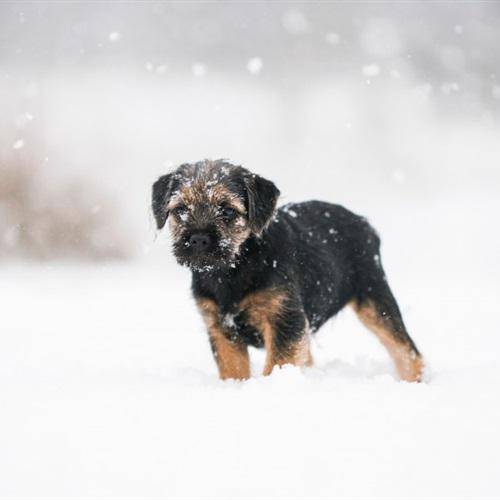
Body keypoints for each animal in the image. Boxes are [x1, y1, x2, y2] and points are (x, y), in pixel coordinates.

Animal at [151, 160, 422, 382]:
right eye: (180, 209)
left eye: (227, 210)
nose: (198, 239)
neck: (234, 269)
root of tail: (365, 223)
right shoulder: (221, 328)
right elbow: (234, 369)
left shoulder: (284, 318)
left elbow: (279, 362)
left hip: (374, 296)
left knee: (405, 349)